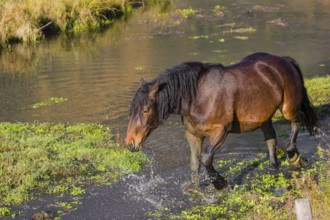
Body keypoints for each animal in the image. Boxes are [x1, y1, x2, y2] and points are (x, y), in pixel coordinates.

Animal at [125, 52, 318, 189]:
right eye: (131, 110)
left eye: (145, 110)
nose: (130, 143)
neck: (197, 96)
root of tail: (285, 61)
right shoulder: (193, 135)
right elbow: (195, 165)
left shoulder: (220, 131)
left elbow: (206, 159)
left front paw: (221, 184)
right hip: (264, 118)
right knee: (270, 139)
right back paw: (274, 166)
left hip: (288, 110)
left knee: (298, 120)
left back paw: (294, 157)